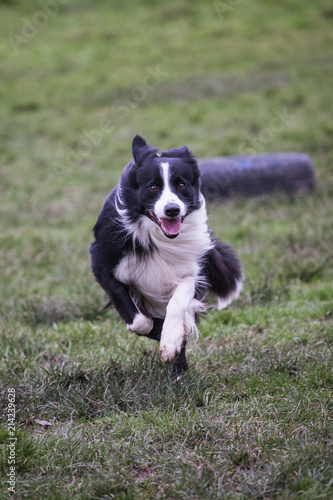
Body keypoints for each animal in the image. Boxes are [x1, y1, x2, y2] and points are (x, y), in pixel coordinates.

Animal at [89, 135, 243, 376]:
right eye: (153, 187)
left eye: (181, 185)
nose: (172, 210)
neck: (155, 235)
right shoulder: (103, 262)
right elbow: (139, 320)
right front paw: (156, 331)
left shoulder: (191, 268)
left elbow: (179, 303)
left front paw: (171, 341)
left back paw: (180, 369)